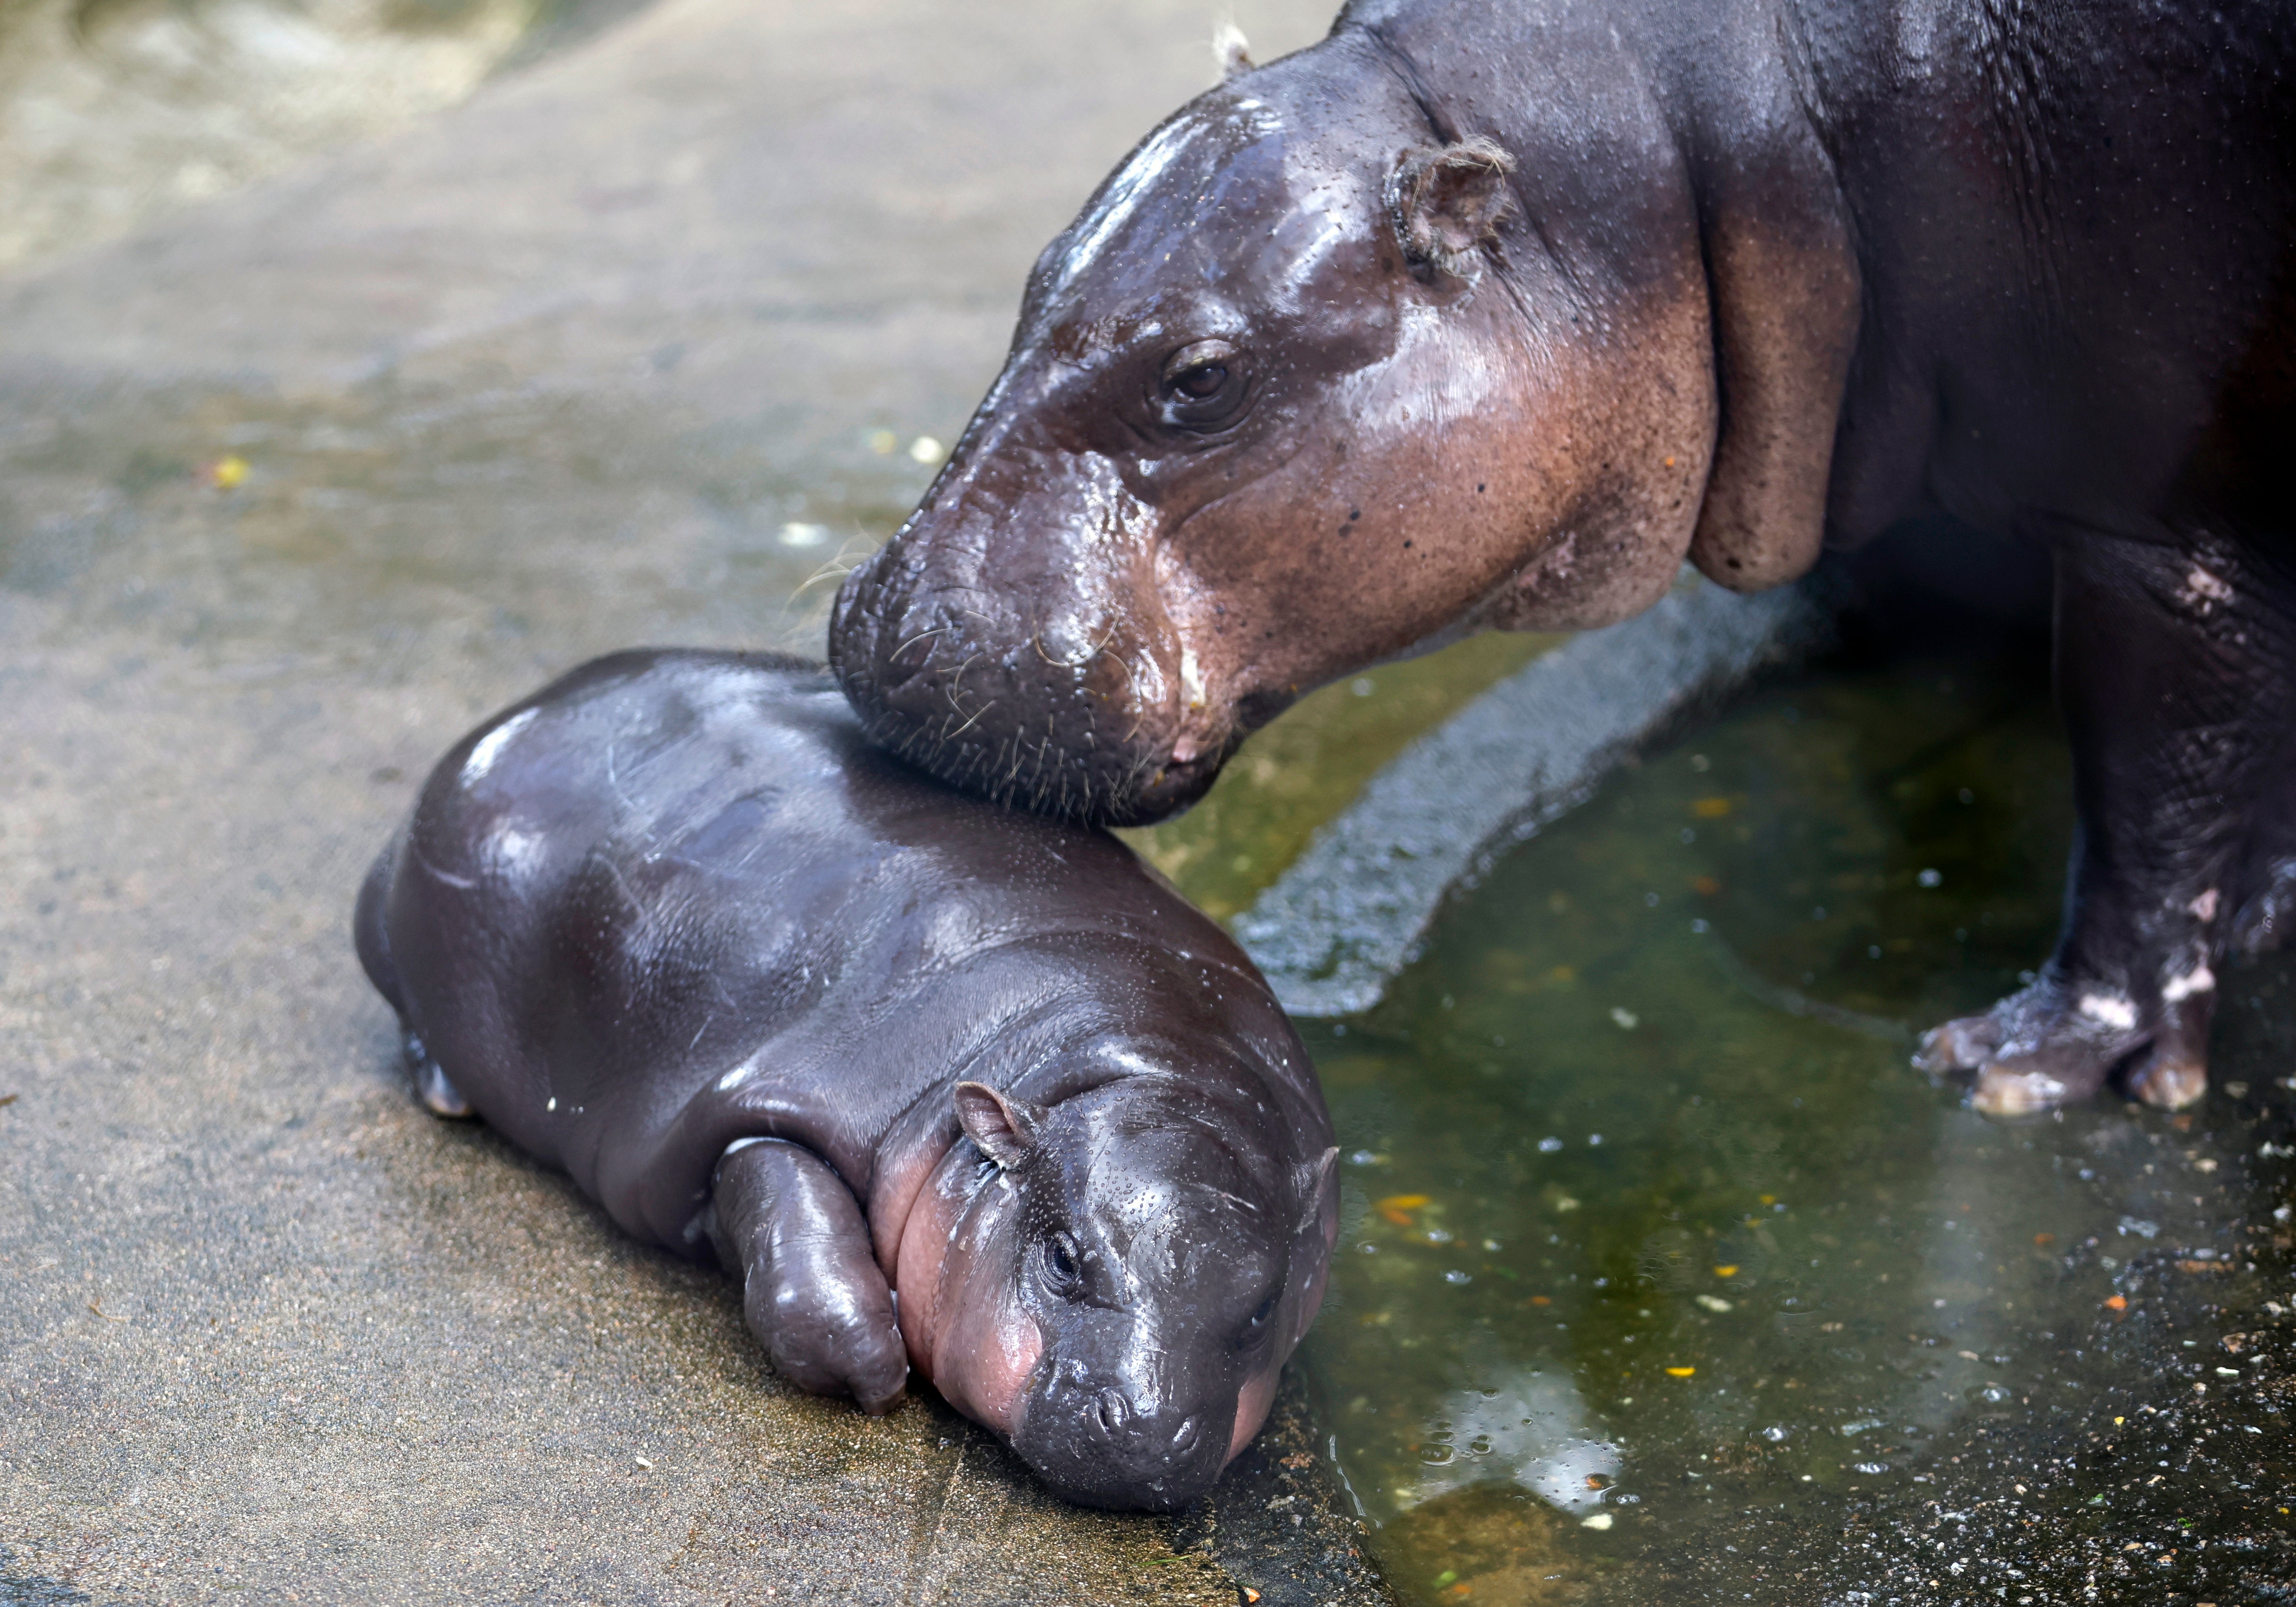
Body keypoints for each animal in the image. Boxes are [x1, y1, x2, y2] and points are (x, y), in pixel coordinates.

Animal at [349, 652, 1341, 1506]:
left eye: (1262, 1305)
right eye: (1064, 1257)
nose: (1144, 1428)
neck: (1128, 1065)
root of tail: (524, 709)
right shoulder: (772, 1105)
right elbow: (801, 1251)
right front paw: (882, 1368)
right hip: (398, 935)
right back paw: (446, 1092)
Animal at [836, 0, 2296, 1125]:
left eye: (1202, 379)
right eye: (1036, 274)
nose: (881, 633)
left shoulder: (2152, 540)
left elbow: (2146, 795)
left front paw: (2036, 1064)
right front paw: (2257, 910)